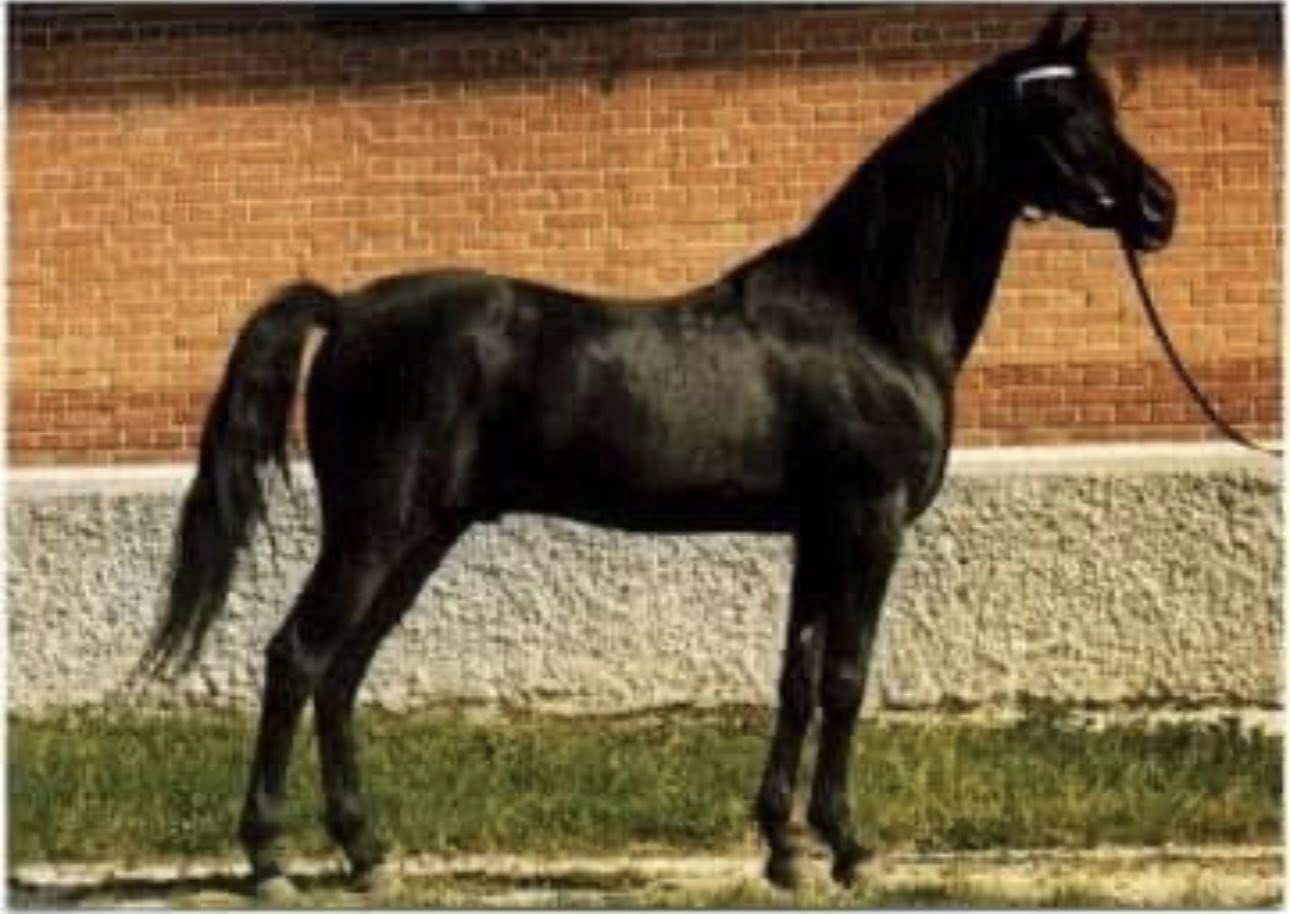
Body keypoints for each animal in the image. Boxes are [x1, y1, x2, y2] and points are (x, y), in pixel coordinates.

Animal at [144, 11, 1176, 895]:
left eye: (1106, 103)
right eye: (1063, 111)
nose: (1160, 208)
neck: (865, 315)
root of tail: (350, 308)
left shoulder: (815, 532)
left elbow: (798, 677)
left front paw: (784, 849)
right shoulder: (868, 523)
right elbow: (847, 677)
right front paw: (848, 848)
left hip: (422, 536)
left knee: (344, 671)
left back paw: (365, 853)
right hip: (373, 530)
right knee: (298, 657)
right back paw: (269, 859)